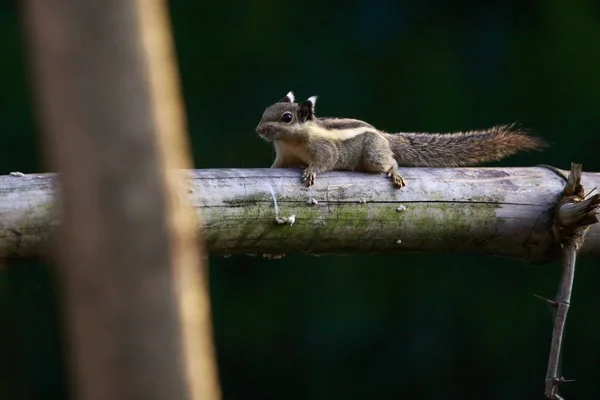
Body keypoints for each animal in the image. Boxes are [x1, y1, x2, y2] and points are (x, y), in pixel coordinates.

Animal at [255, 92, 548, 189]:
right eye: (266, 110)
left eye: (286, 118)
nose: (258, 130)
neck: (292, 141)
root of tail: (385, 137)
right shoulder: (283, 156)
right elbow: (276, 168)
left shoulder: (324, 148)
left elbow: (325, 161)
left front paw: (311, 172)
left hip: (373, 155)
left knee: (390, 161)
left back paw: (394, 173)